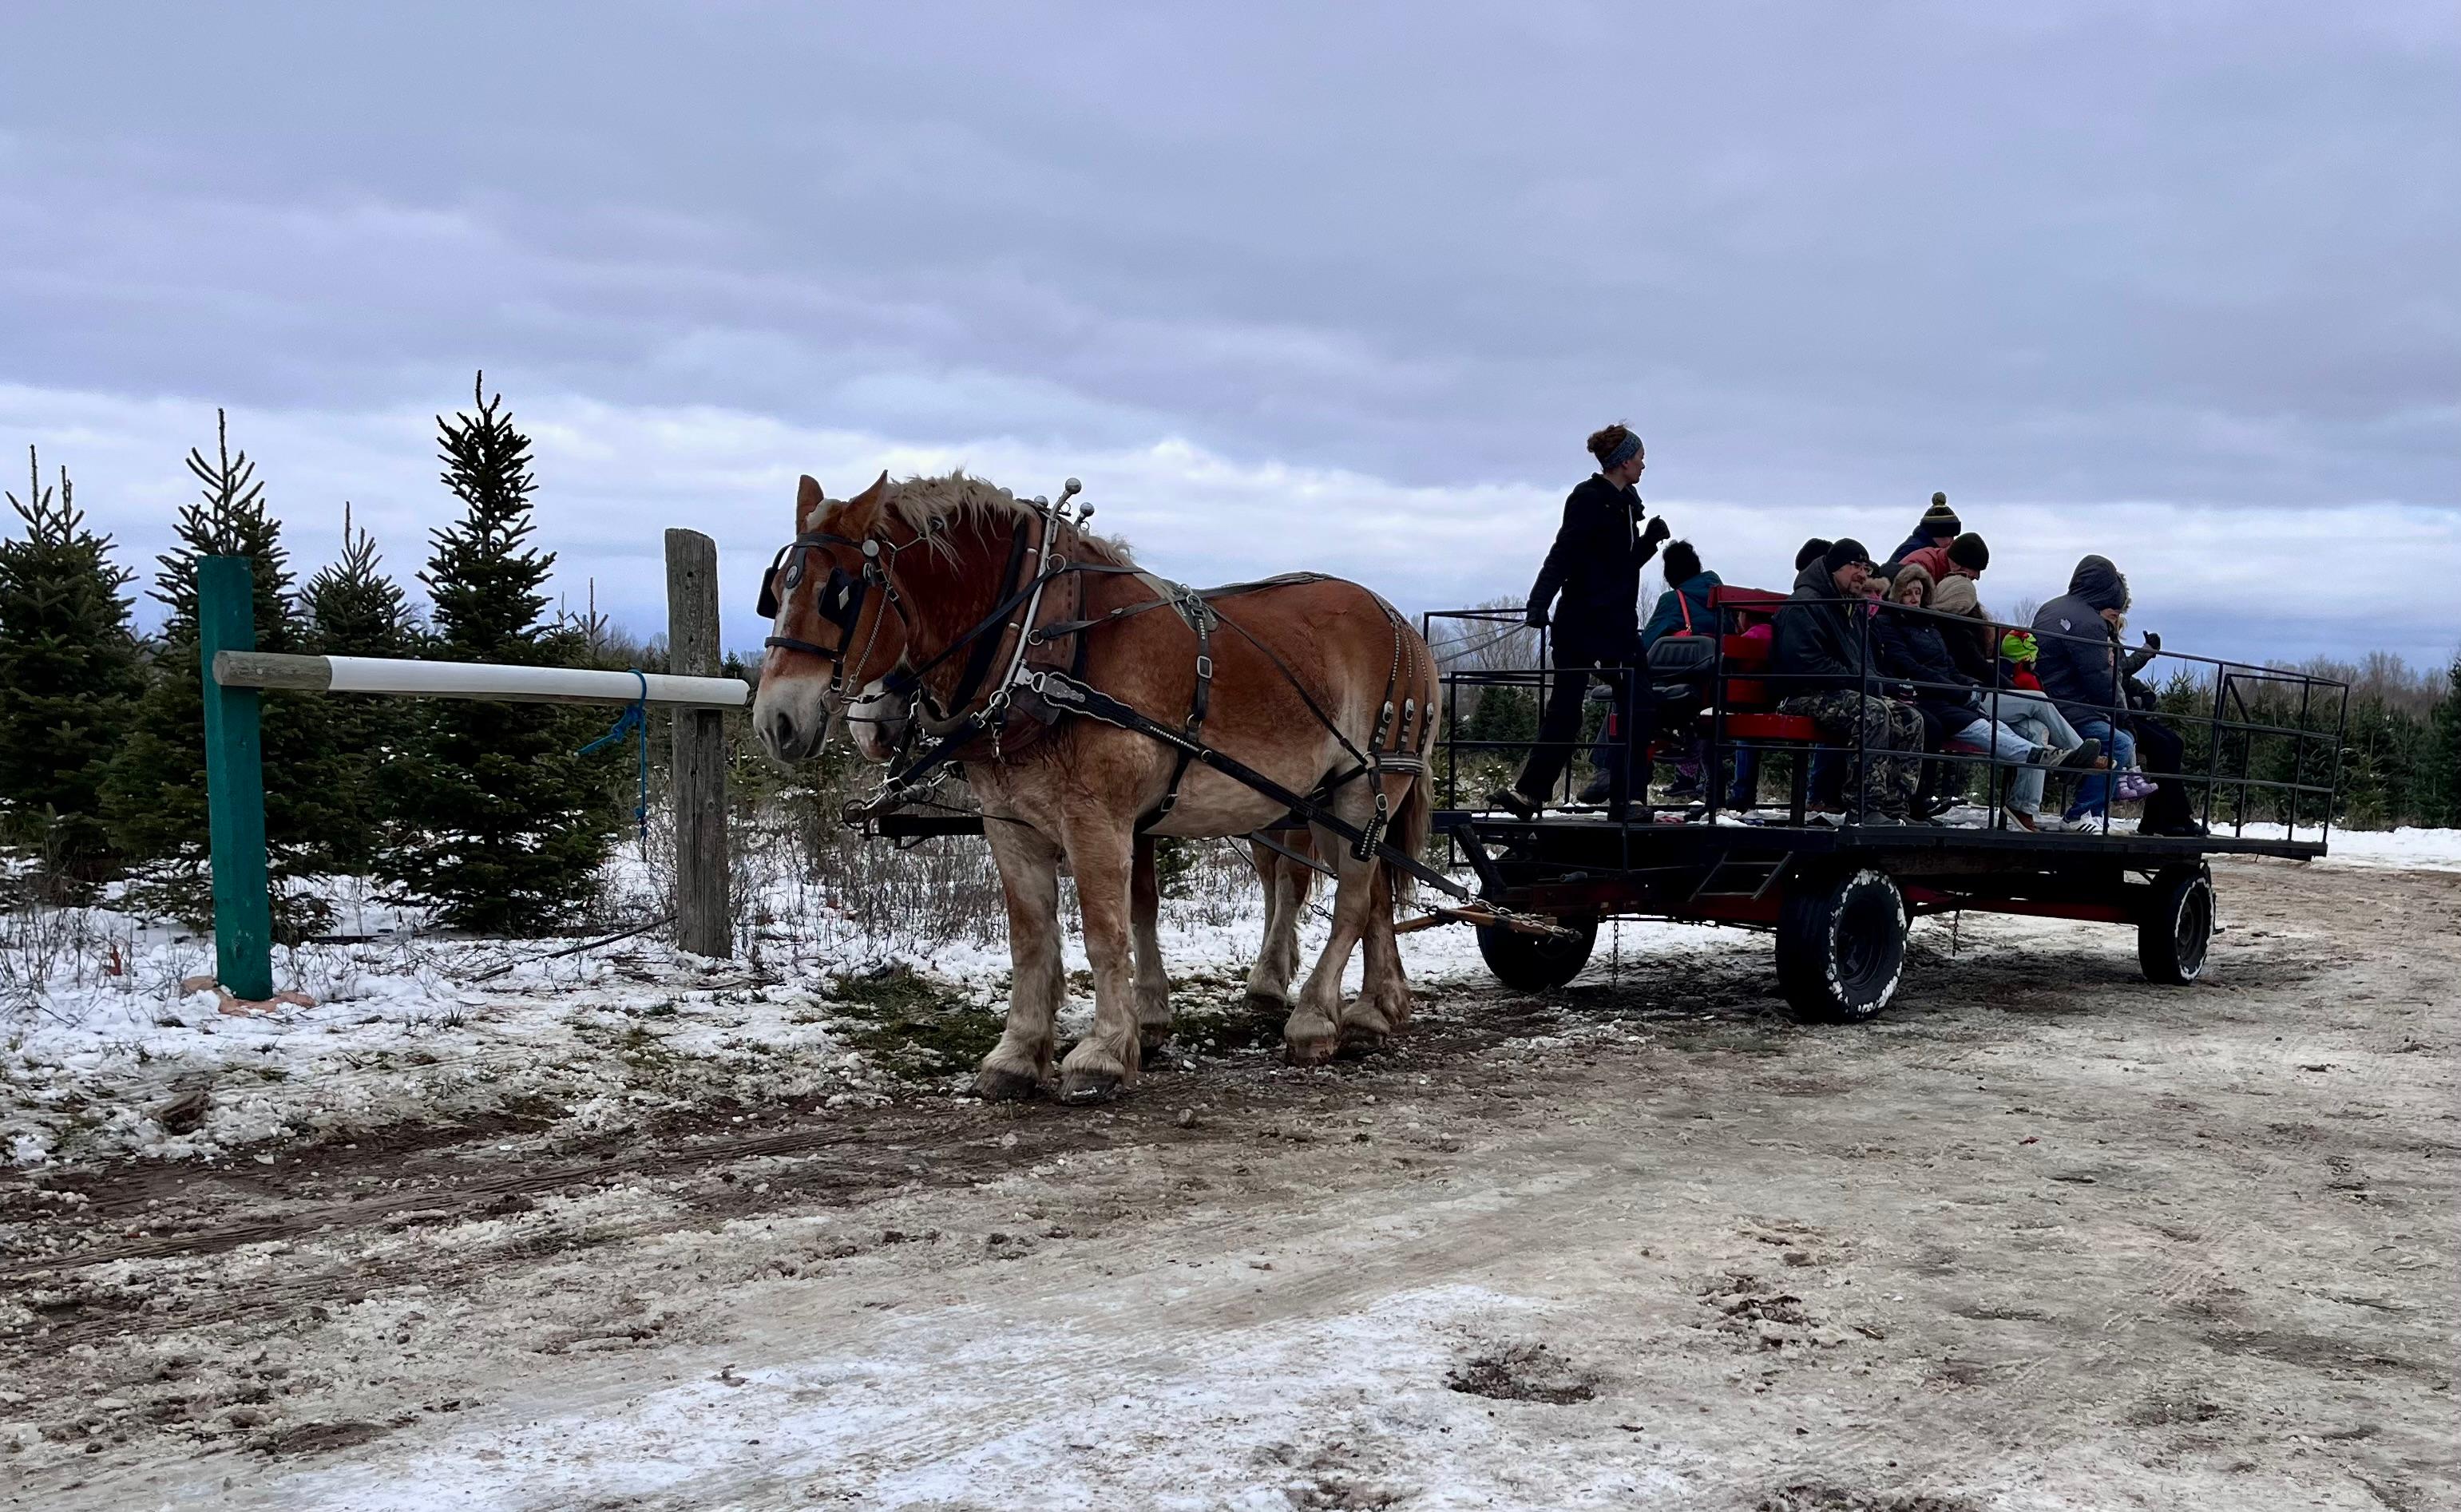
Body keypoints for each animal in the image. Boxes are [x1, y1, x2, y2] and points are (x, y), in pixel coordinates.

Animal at [755, 471, 1433, 1103]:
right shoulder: (1011, 824)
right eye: (776, 590)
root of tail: (1403, 623)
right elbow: (1035, 939)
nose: (775, 722)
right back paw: (1374, 1011)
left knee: (1351, 902)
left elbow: (1108, 933)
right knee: (1374, 893)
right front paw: (1019, 1053)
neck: (1044, 644)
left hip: (1368, 786)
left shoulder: (1099, 820)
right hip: (1325, 801)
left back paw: (1315, 1019)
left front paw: (1104, 1053)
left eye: (837, 594)